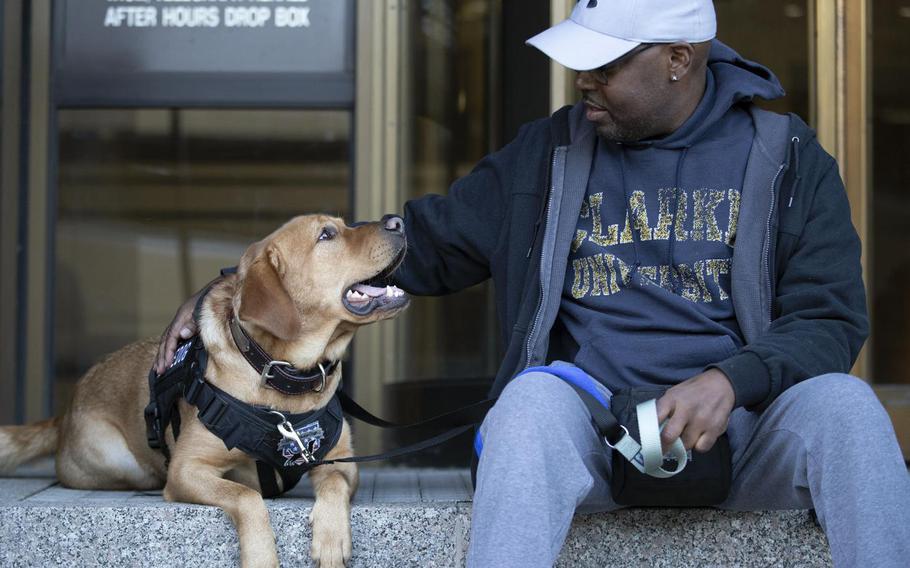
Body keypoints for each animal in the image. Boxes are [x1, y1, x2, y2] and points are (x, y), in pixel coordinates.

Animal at [0, 214, 410, 568]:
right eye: (327, 234)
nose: (397, 221)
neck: (280, 377)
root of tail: (63, 414)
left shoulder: (341, 462)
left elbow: (334, 487)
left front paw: (331, 539)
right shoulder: (186, 469)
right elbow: (245, 495)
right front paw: (261, 556)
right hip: (120, 461)